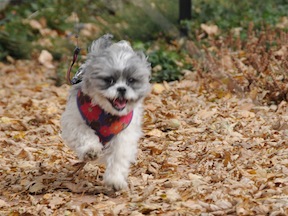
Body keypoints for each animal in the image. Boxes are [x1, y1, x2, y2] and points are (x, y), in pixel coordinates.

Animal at [60, 34, 151, 191]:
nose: (122, 89)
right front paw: (90, 150)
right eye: (109, 80)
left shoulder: (124, 135)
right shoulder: (74, 121)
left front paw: (115, 179)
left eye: (131, 80)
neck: (107, 114)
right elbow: (84, 133)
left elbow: (119, 156)